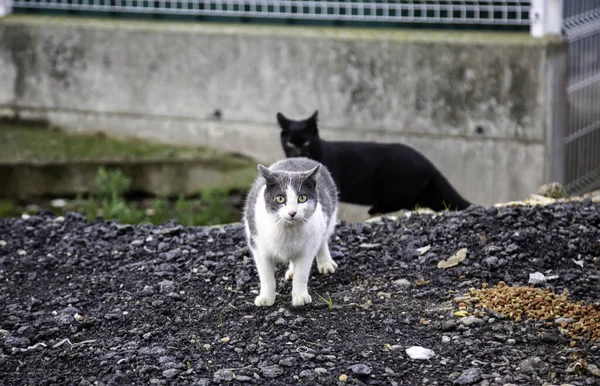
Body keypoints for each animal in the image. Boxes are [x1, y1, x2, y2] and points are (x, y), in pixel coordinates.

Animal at [243, 157, 338, 308]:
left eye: (302, 198)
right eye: (280, 198)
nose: (292, 213)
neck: (287, 230)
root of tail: (300, 157)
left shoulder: (308, 249)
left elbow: (302, 274)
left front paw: (300, 296)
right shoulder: (258, 246)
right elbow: (266, 277)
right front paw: (266, 298)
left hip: (328, 220)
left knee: (322, 241)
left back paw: (325, 263)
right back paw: (291, 271)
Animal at [276, 110, 474, 216]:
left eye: (306, 142)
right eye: (290, 143)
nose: (298, 152)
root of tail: (430, 163)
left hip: (395, 186)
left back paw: (373, 210)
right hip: (427, 195)